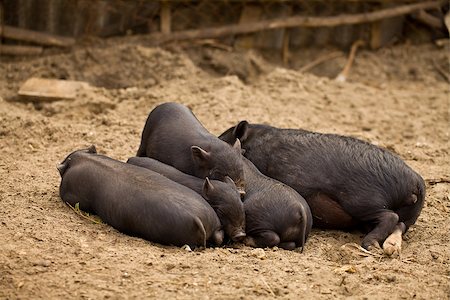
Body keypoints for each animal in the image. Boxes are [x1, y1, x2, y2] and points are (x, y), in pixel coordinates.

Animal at [221, 120, 426, 254]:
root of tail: (415, 179)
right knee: (399, 224)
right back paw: (390, 249)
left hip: (362, 200)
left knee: (390, 217)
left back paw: (369, 245)